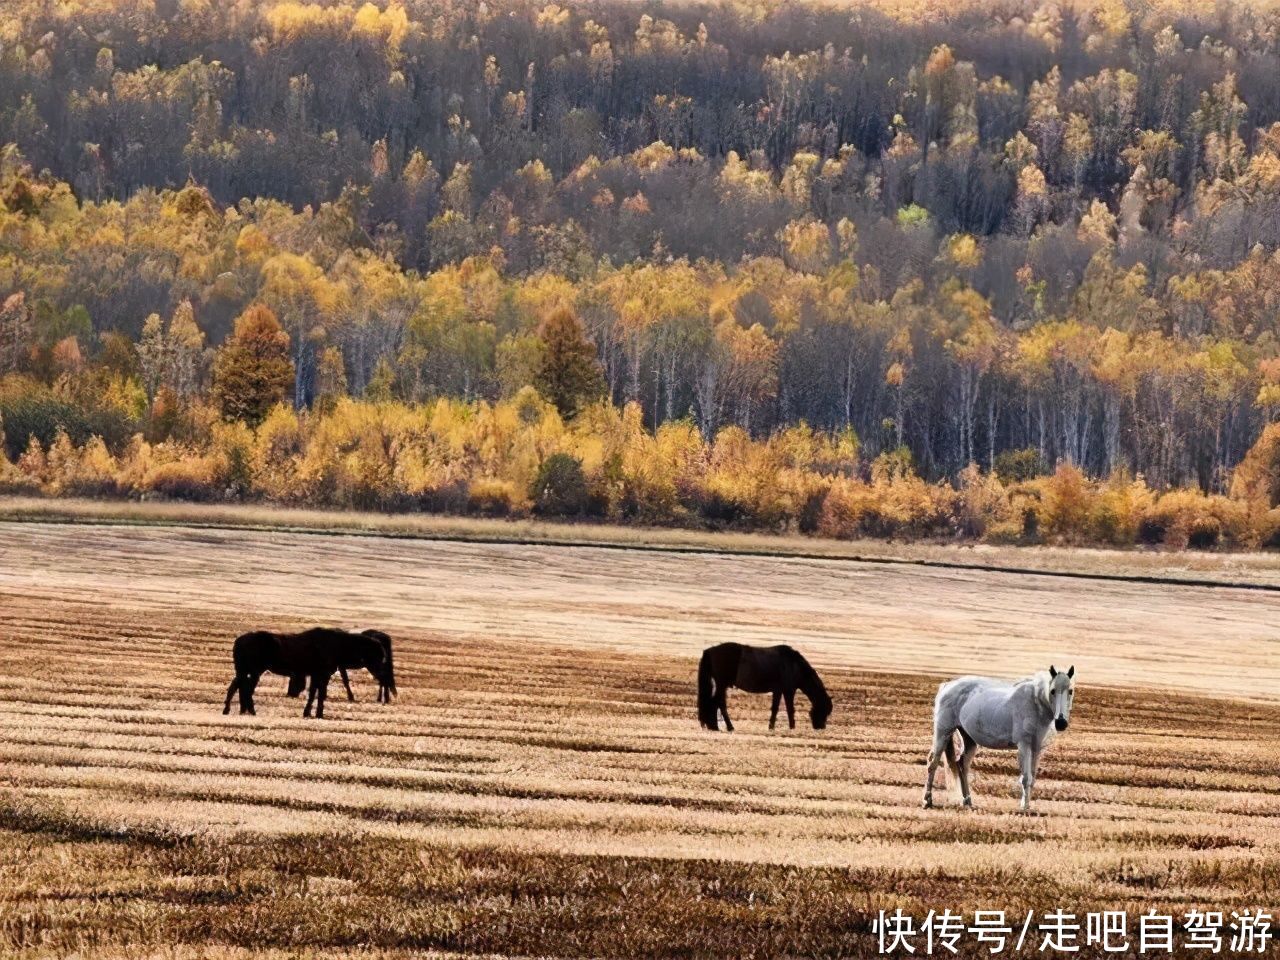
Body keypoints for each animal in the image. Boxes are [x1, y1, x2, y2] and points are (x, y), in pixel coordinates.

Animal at [225, 627, 391, 716]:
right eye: (377, 655)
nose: (383, 674)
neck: (338, 645)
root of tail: (239, 641)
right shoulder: (322, 674)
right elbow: (319, 694)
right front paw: (317, 713)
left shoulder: (317, 675)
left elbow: (314, 693)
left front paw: (310, 713)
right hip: (255, 671)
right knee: (246, 689)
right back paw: (250, 711)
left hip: (244, 670)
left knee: (236, 686)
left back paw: (230, 710)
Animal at [696, 647, 834, 737]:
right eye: (825, 710)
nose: (821, 727)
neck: (794, 665)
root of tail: (710, 651)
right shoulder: (788, 691)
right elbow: (790, 709)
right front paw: (792, 727)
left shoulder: (778, 690)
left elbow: (775, 709)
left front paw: (771, 727)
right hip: (722, 684)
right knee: (719, 703)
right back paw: (728, 727)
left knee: (714, 703)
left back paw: (714, 726)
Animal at [926, 665, 1075, 814]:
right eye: (1053, 691)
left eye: (1070, 691)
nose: (1061, 722)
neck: (1035, 704)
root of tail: (946, 686)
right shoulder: (1024, 746)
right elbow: (1026, 778)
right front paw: (1024, 808)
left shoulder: (1036, 748)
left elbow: (1032, 779)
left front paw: (1027, 806)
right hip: (943, 732)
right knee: (933, 763)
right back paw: (927, 801)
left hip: (969, 740)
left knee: (962, 765)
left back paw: (967, 801)